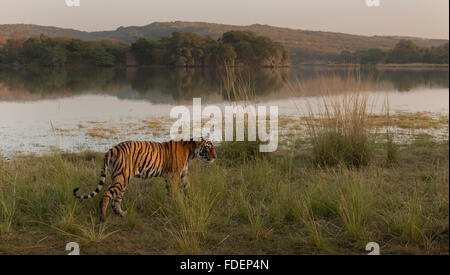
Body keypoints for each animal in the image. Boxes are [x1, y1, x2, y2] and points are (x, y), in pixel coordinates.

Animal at [73, 137, 217, 223]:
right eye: (208, 147)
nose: (215, 156)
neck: (191, 152)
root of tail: (111, 149)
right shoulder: (174, 175)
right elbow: (173, 192)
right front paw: (175, 206)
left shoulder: (181, 175)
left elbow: (184, 190)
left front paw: (189, 202)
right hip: (122, 177)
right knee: (107, 195)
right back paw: (103, 218)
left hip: (122, 178)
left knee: (116, 199)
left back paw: (121, 214)